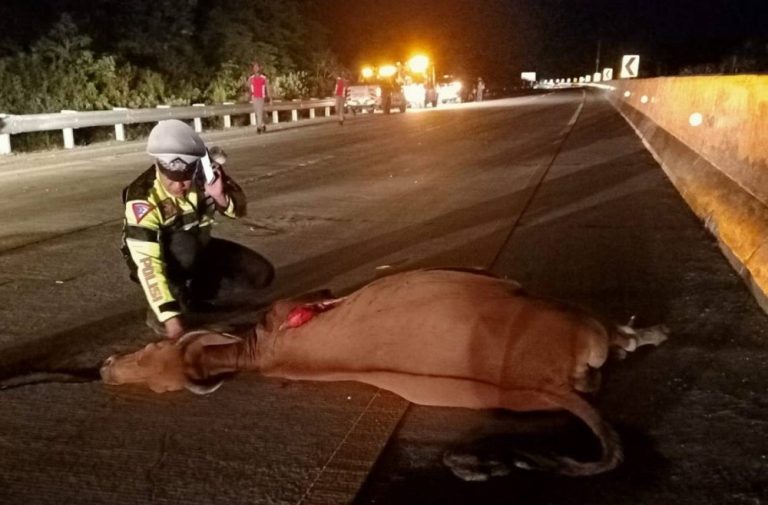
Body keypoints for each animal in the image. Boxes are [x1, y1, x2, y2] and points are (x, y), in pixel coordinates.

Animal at [100, 268, 664, 476]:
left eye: (149, 354)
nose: (105, 370)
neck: (256, 352)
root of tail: (547, 382)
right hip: (574, 319)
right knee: (613, 340)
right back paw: (644, 333)